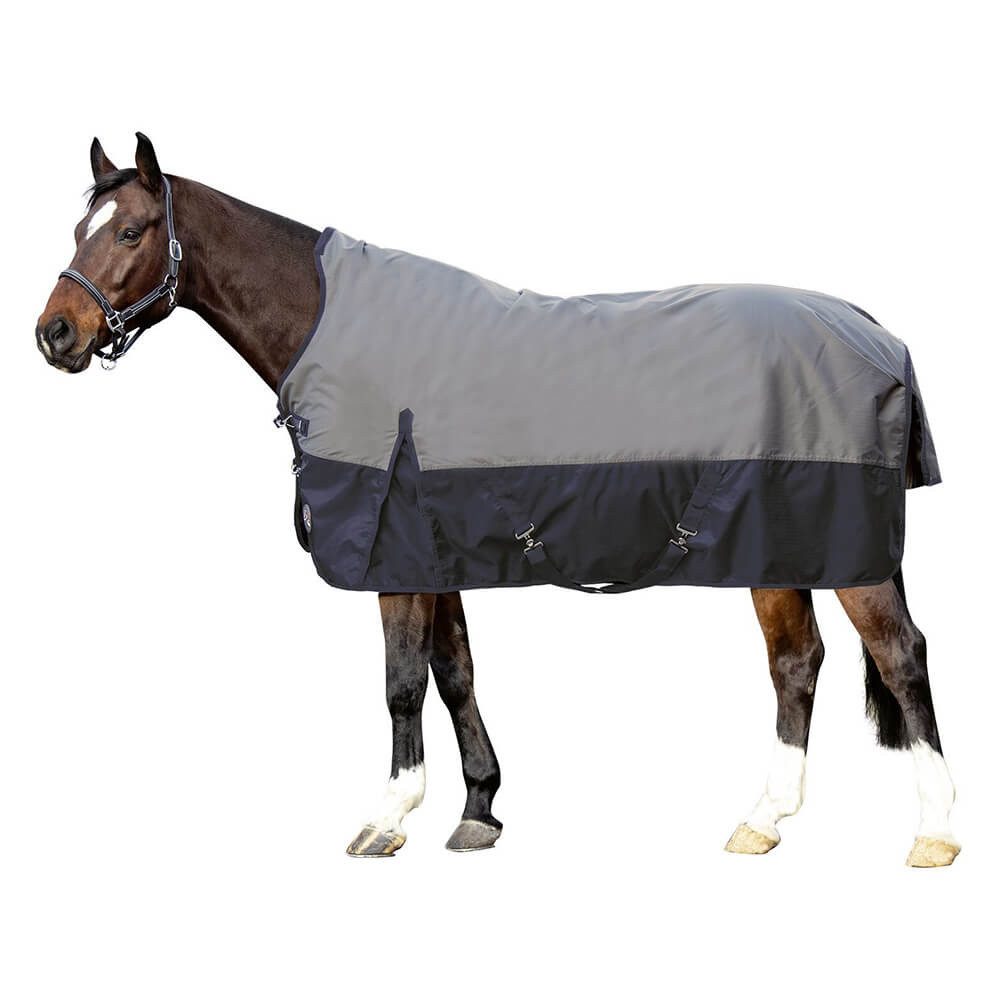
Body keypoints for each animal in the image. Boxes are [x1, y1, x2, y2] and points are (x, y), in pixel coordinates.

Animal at [35, 133, 959, 867]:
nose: (55, 333)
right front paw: (479, 809)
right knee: (797, 662)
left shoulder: (395, 554)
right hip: (780, 543)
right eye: (80, 229)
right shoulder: (433, 550)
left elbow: (402, 682)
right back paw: (764, 819)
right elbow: (455, 674)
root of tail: (872, 328)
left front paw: (388, 817)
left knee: (900, 656)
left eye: (130, 230)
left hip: (846, 551)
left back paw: (936, 833)